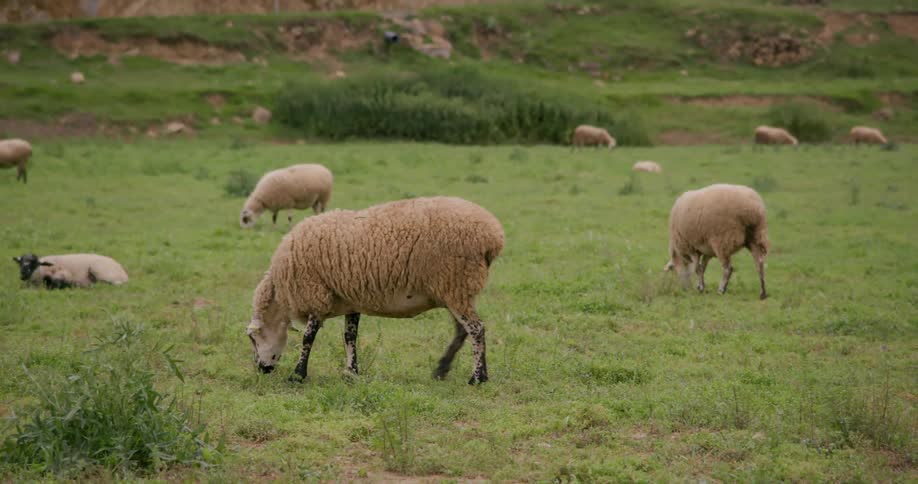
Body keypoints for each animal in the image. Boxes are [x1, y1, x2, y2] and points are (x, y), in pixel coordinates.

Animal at [245, 196, 504, 385]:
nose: (262, 370)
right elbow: (349, 337)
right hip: (454, 291)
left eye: (252, 338)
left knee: (476, 329)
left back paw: (477, 378)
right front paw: (351, 372)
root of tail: (494, 236)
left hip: (456, 283)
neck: (281, 292)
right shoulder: (349, 299)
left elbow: (308, 337)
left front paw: (298, 374)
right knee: (464, 331)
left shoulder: (316, 294)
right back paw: (444, 370)